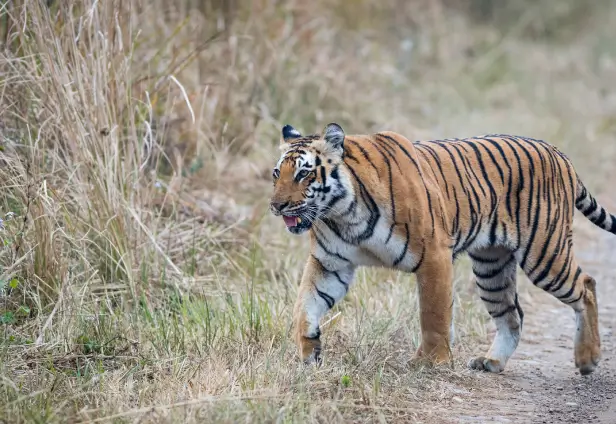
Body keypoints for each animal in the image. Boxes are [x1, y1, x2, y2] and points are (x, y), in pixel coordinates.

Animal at [270, 121, 616, 374]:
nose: (276, 206)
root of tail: (557, 152)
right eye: (277, 173)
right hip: (491, 268)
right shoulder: (330, 264)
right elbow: (304, 305)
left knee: (586, 285)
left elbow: (433, 314)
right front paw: (308, 351)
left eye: (303, 173)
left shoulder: (433, 255)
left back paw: (588, 359)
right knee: (511, 313)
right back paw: (492, 362)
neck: (342, 213)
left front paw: (431, 362)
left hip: (544, 252)